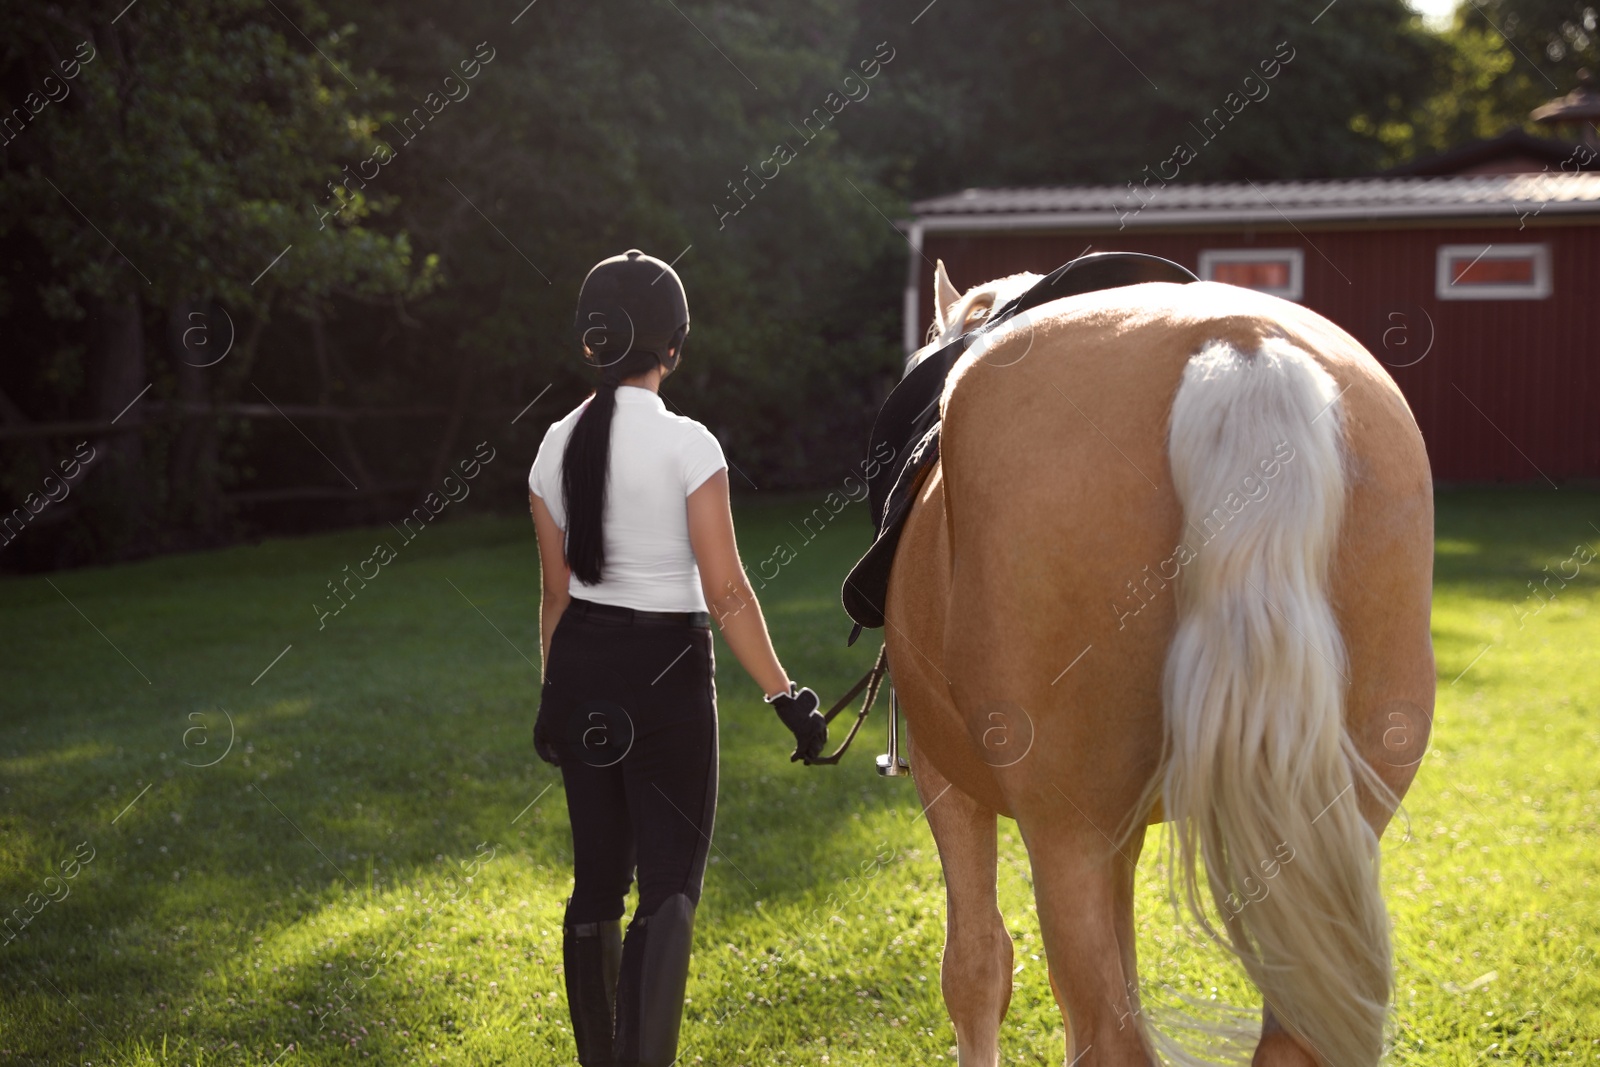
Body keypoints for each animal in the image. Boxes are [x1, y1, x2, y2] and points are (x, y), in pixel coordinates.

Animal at [889, 260, 1440, 1067]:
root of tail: (1241, 346)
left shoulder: (948, 781)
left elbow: (976, 967)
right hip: (1339, 823)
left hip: (1066, 835)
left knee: (1105, 1031)